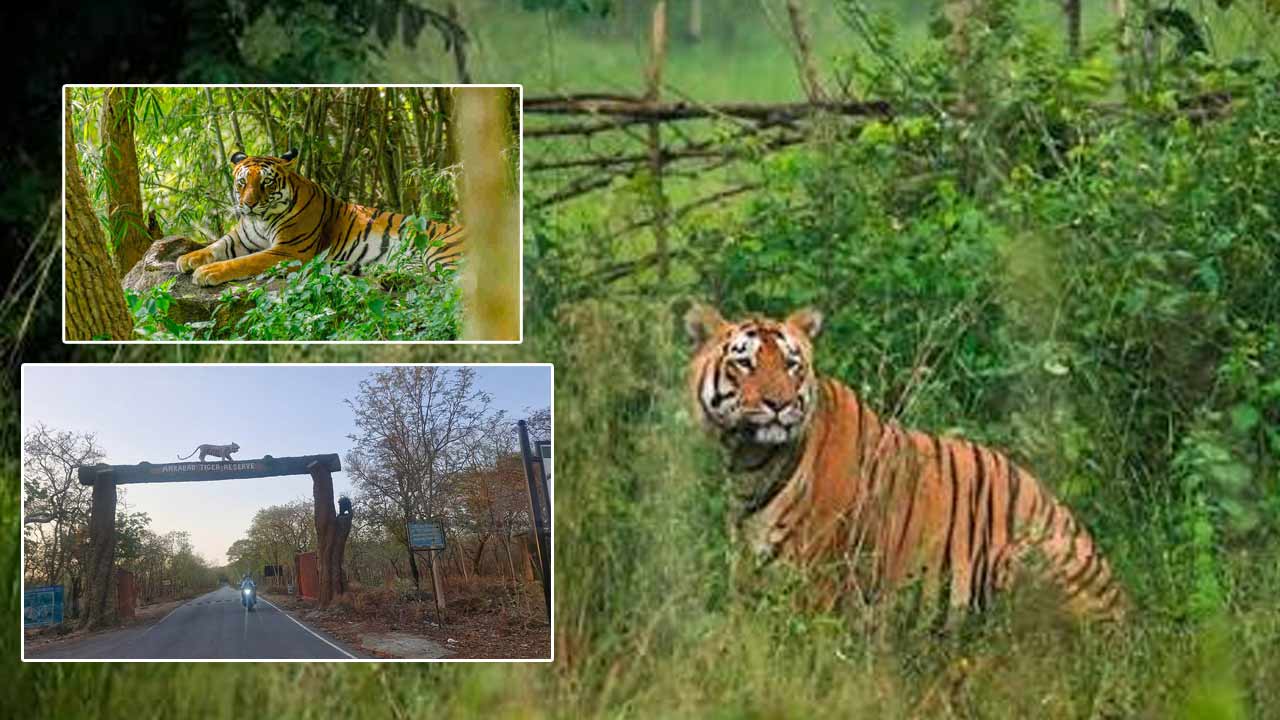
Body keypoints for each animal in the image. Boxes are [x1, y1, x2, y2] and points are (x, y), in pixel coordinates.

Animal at [176, 149, 465, 287]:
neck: (262, 218)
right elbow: (215, 246)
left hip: (441, 253)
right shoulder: (239, 239)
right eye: (242, 183)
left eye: (266, 183)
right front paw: (187, 259)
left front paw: (207, 272)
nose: (248, 204)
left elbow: (243, 262)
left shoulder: (288, 251)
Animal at [685, 303, 1126, 621]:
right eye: (745, 362)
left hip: (1027, 555)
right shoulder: (748, 566)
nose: (779, 404)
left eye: (791, 364)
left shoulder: (817, 575)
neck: (751, 462)